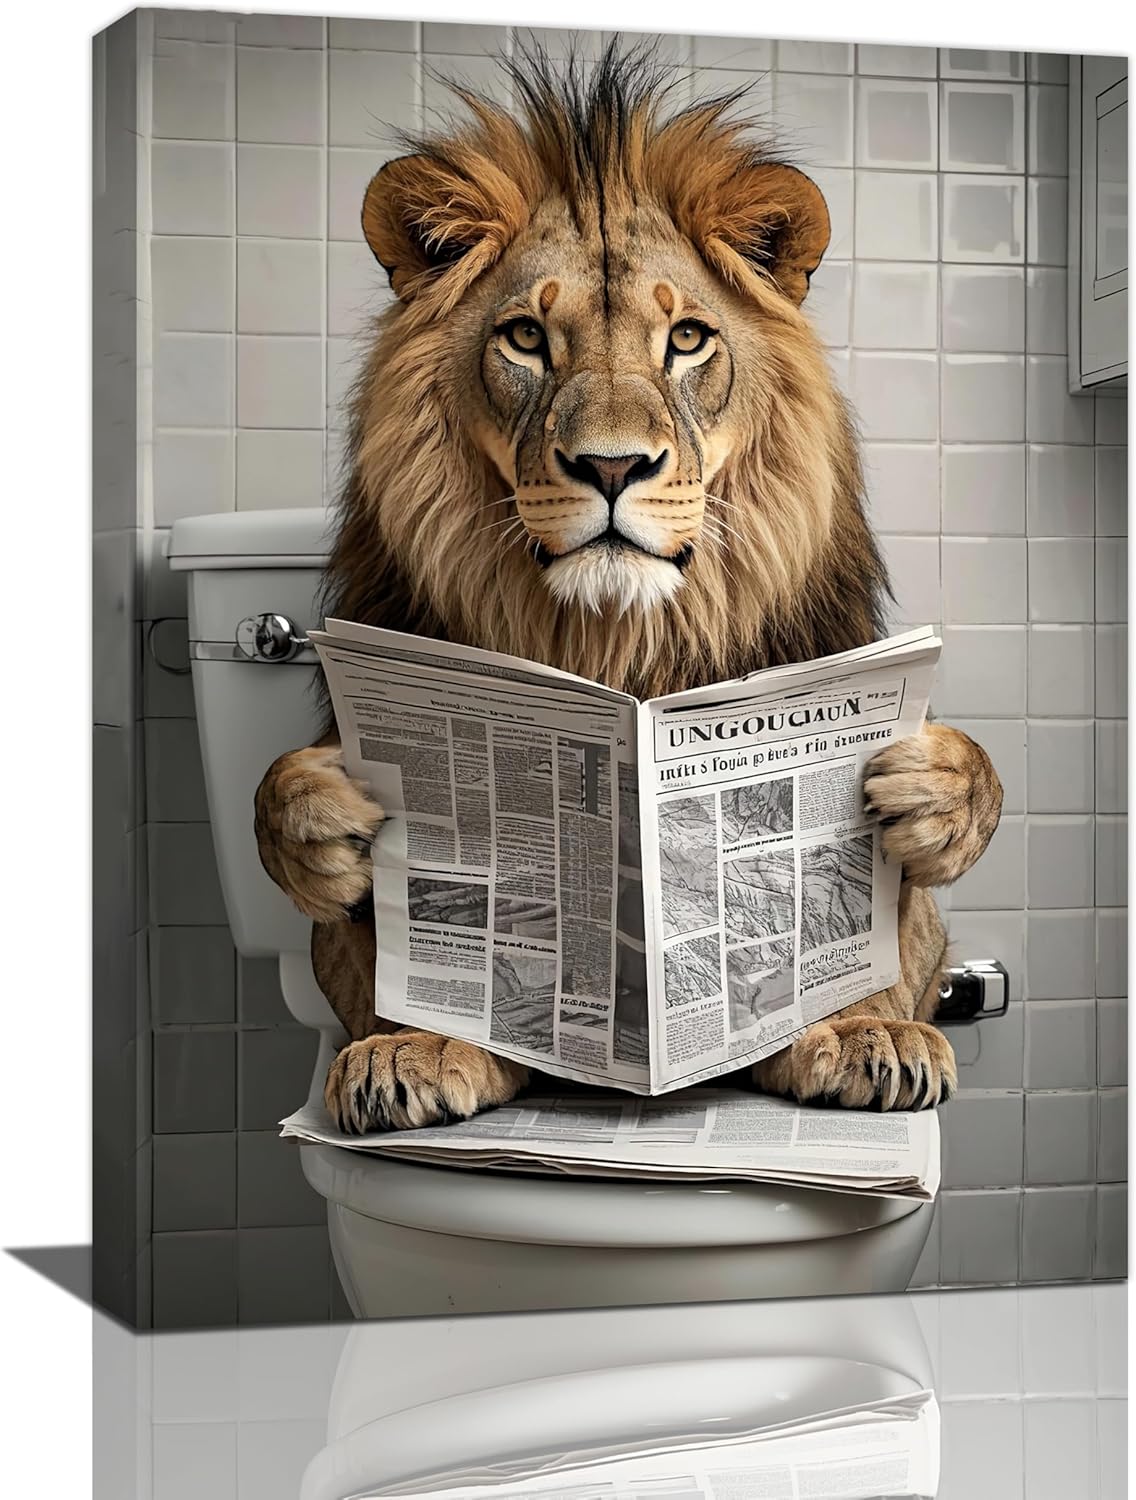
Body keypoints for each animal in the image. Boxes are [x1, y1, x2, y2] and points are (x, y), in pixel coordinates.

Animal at [254, 43, 1002, 1133]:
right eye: (526, 338)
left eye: (686, 339)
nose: (611, 466)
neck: (615, 639)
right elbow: (299, 817)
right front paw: (326, 827)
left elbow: (904, 875)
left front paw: (921, 835)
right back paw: (423, 1050)